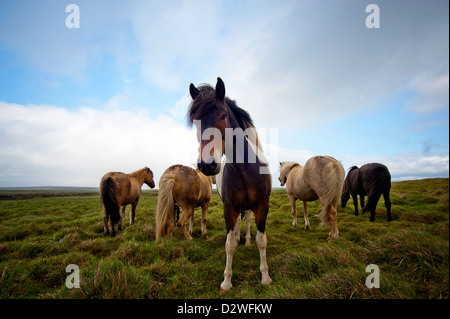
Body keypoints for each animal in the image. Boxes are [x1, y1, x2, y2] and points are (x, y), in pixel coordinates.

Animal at [186, 77, 270, 292]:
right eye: (196, 122)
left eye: (223, 116)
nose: (207, 165)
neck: (245, 169)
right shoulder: (229, 207)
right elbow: (229, 244)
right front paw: (227, 281)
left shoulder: (262, 206)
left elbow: (261, 241)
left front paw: (265, 277)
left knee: (247, 221)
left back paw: (246, 240)